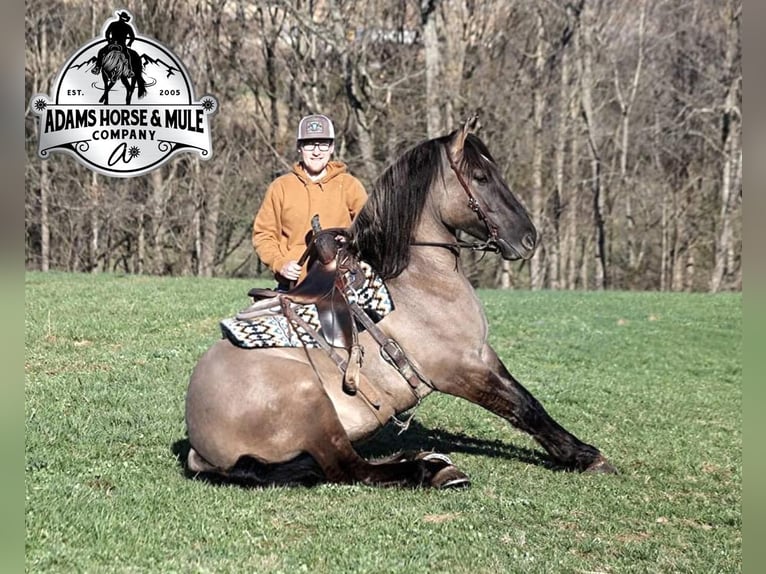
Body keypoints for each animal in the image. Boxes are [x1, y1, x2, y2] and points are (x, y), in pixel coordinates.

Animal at [183, 118, 616, 490]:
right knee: (348, 468)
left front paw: (577, 451)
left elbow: (528, 401)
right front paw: (585, 457)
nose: (528, 237)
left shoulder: (481, 355)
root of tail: (198, 445)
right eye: (481, 177)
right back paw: (429, 470)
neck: (419, 281)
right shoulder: (458, 370)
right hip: (312, 404)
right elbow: (521, 409)